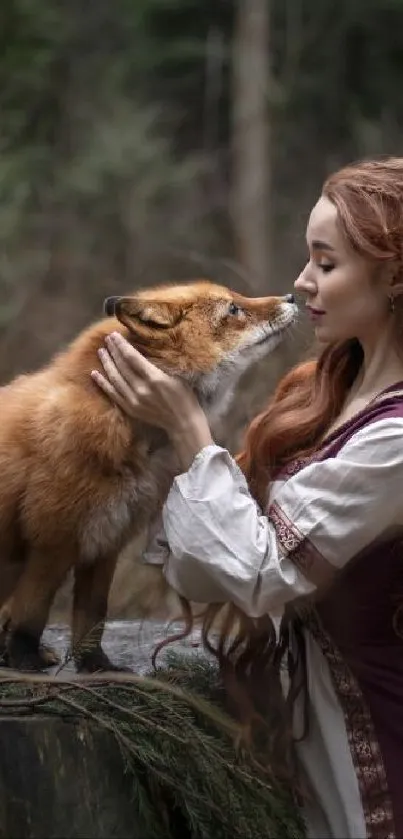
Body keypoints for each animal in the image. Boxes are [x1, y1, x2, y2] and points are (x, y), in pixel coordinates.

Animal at [0, 282, 296, 676]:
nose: (292, 297)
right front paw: (25, 662)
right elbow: (31, 614)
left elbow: (92, 616)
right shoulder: (54, 538)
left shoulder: (108, 538)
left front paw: (97, 665)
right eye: (233, 309)